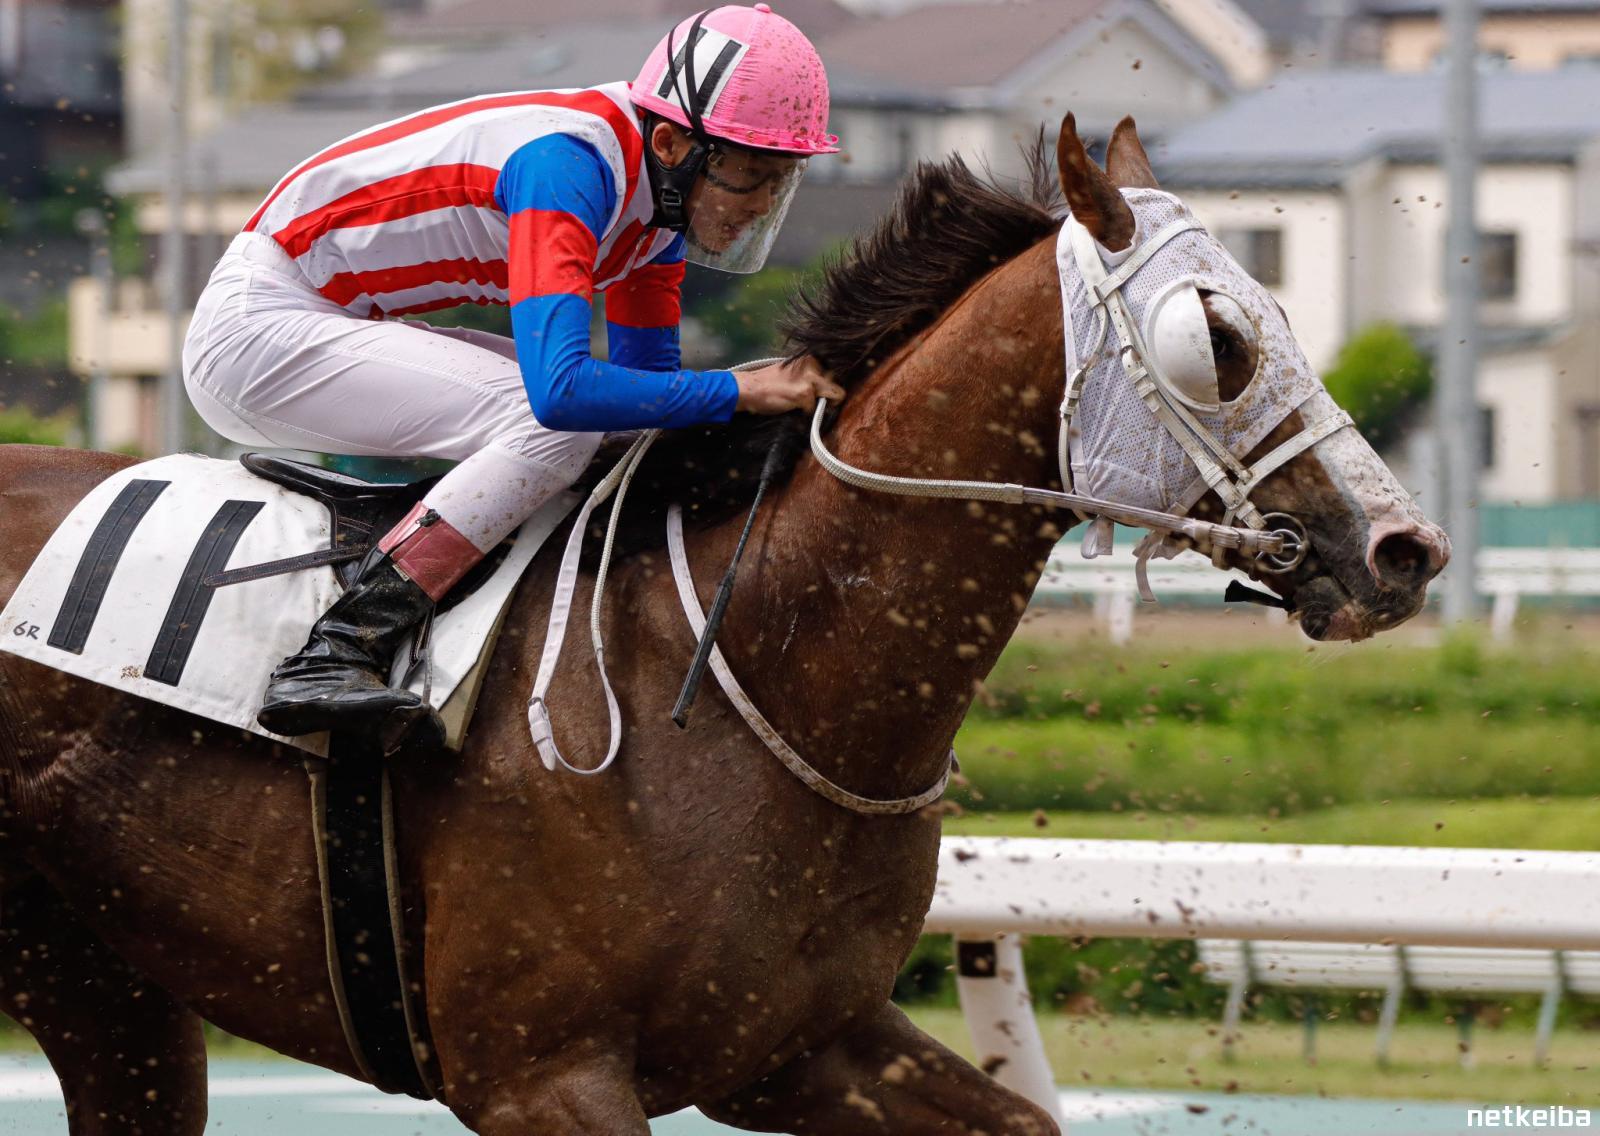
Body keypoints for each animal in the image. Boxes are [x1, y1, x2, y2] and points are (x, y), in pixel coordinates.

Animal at [0, 116, 1446, 1135]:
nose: (1402, 550)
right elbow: (560, 386)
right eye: (1217, 336)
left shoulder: (797, 1044)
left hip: (107, 992)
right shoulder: (543, 1076)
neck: (762, 669)